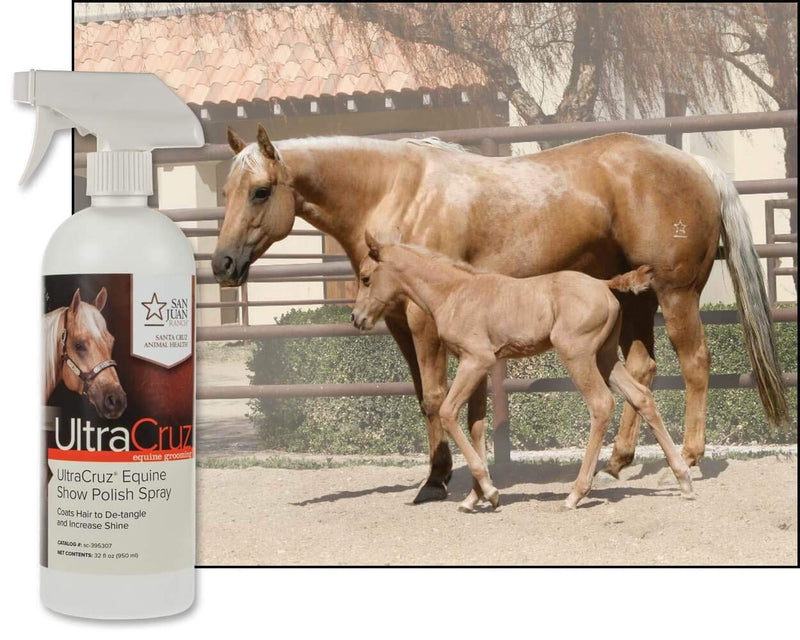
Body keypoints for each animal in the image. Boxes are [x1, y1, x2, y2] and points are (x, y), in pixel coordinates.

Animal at [352, 234, 695, 511]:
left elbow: (449, 413)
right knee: (642, 397)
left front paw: (490, 492)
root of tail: (603, 284)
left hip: (578, 355)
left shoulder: (474, 360)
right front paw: (475, 497)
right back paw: (683, 481)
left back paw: (576, 493)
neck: (454, 292)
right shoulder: (479, 365)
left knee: (601, 404)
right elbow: (476, 425)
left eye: (366, 278)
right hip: (605, 357)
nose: (356, 318)